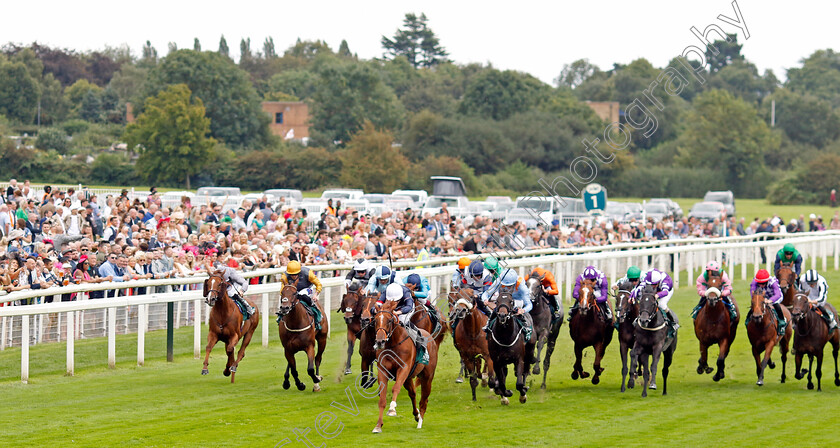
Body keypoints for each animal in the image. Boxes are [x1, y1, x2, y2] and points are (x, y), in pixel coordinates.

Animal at [372, 302, 440, 432]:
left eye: (389, 320)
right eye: (375, 320)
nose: (379, 341)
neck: (393, 344)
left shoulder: (403, 368)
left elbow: (396, 388)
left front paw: (392, 409)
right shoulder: (382, 371)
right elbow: (382, 399)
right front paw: (378, 425)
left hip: (427, 377)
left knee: (424, 400)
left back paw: (420, 423)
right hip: (408, 378)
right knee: (412, 394)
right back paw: (417, 415)